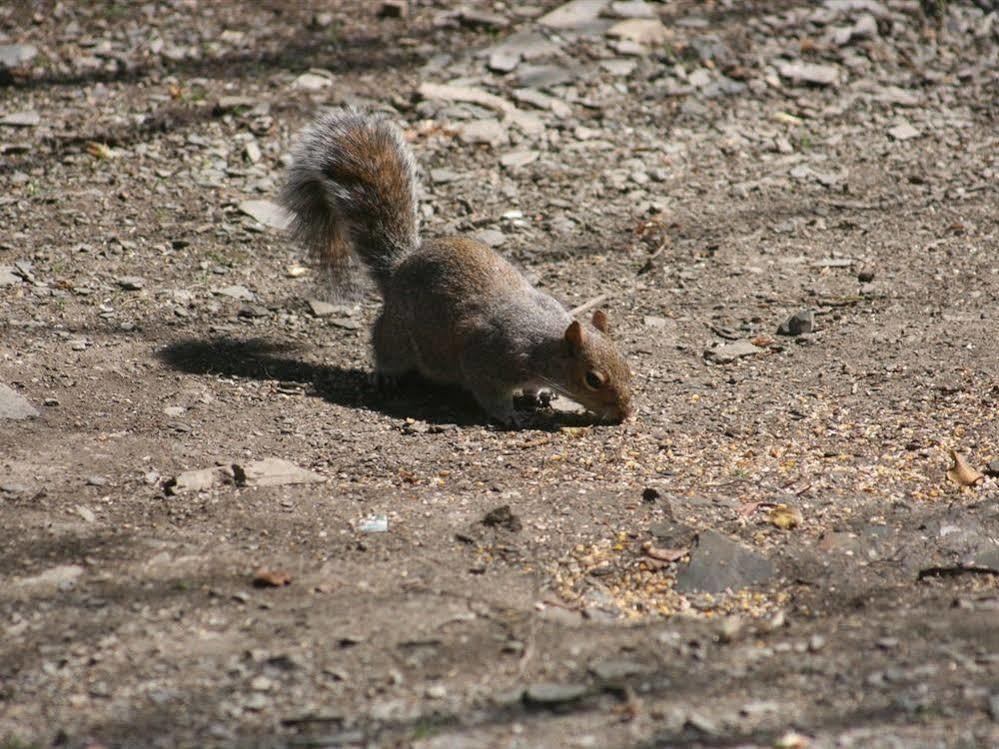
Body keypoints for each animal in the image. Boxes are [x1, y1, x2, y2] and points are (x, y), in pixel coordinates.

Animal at [280, 107, 632, 424]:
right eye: (593, 379)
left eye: (626, 364)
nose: (625, 413)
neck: (543, 344)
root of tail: (398, 268)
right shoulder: (486, 359)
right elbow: (490, 394)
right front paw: (510, 416)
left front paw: (540, 394)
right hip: (398, 336)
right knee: (383, 346)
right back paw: (385, 376)